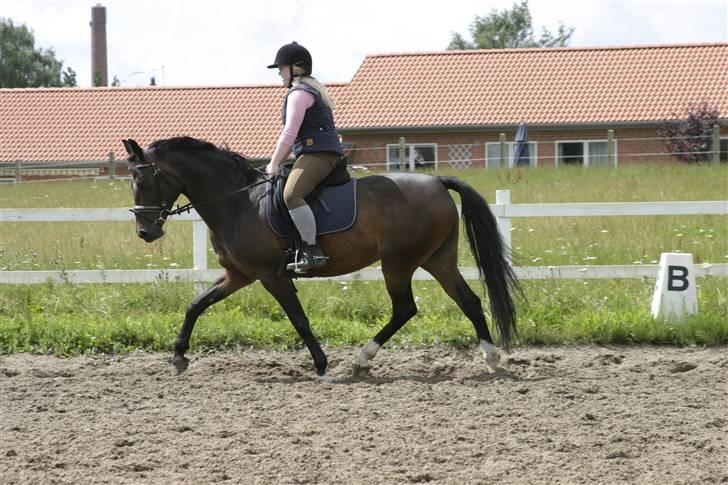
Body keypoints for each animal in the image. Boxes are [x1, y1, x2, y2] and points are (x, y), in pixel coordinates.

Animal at [126, 136, 524, 378]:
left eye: (142, 182)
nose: (146, 232)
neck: (239, 201)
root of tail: (437, 181)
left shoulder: (271, 276)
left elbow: (299, 320)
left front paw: (320, 364)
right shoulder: (239, 274)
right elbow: (196, 304)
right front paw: (179, 356)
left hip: (398, 263)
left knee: (405, 309)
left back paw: (362, 360)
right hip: (436, 259)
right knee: (469, 301)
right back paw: (491, 358)